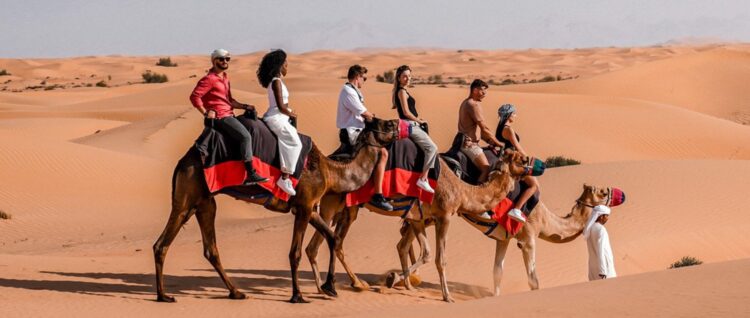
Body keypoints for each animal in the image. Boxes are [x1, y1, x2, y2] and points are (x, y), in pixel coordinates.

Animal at [151, 117, 402, 304]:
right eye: (385, 124)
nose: (398, 124)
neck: (330, 172)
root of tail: (183, 161)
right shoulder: (304, 207)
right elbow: (295, 252)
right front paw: (298, 295)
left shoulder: (309, 208)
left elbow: (333, 239)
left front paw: (330, 287)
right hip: (188, 196)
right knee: (163, 244)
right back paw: (164, 296)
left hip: (204, 202)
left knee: (208, 248)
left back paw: (235, 292)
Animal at [304, 150, 528, 302]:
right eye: (518, 158)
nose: (529, 164)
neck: (462, 191)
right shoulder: (444, 216)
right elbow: (440, 258)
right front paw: (447, 296)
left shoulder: (419, 218)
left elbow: (426, 253)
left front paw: (396, 279)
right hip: (334, 205)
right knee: (330, 243)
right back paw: (348, 285)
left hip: (343, 209)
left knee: (321, 245)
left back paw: (327, 288)